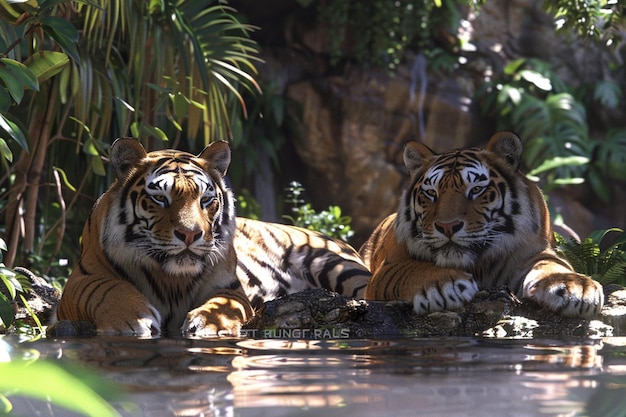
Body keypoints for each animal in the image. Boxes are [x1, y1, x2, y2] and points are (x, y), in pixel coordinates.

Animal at [53, 138, 368, 336]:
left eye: (205, 200)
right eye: (160, 198)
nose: (191, 234)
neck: (171, 278)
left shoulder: (230, 288)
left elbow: (223, 305)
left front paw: (209, 325)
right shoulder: (81, 279)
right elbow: (107, 290)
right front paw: (134, 320)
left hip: (335, 263)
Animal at [358, 132, 604, 316]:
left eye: (476, 189)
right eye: (431, 193)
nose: (448, 227)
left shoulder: (535, 251)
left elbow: (552, 265)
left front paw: (575, 287)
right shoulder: (390, 266)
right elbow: (412, 269)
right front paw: (443, 287)